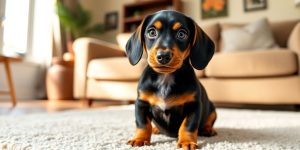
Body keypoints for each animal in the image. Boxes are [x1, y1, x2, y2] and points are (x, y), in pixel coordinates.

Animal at [125, 9, 217, 149]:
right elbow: (143, 124)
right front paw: (139, 139)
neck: (165, 78)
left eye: (181, 34)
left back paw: (208, 129)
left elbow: (188, 126)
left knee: (208, 121)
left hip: (212, 109)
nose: (163, 56)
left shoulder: (194, 106)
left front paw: (187, 142)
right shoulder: (141, 103)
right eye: (152, 32)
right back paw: (156, 129)